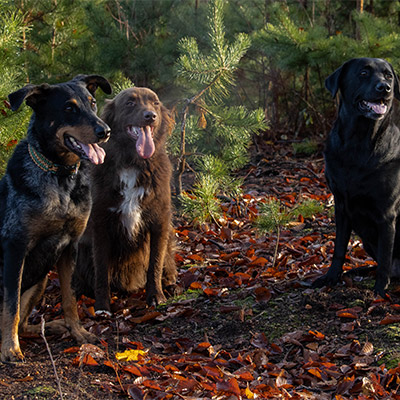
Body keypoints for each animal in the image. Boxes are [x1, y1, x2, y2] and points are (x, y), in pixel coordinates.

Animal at [0, 75, 111, 362]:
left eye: (92, 103)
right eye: (69, 108)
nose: (105, 131)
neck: (59, 177)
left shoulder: (69, 246)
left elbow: (69, 298)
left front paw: (78, 332)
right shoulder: (15, 248)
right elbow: (10, 305)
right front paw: (10, 348)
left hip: (40, 281)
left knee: (25, 323)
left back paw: (52, 326)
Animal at [73, 86, 177, 312]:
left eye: (155, 103)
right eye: (130, 103)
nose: (150, 116)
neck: (132, 163)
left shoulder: (159, 221)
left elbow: (155, 264)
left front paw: (156, 296)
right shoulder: (100, 225)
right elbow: (101, 271)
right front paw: (102, 306)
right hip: (82, 246)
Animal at [314, 57, 400, 296]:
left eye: (389, 75)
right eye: (363, 73)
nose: (385, 88)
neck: (359, 142)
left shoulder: (387, 215)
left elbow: (385, 256)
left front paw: (380, 291)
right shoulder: (341, 206)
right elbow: (339, 248)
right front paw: (331, 277)